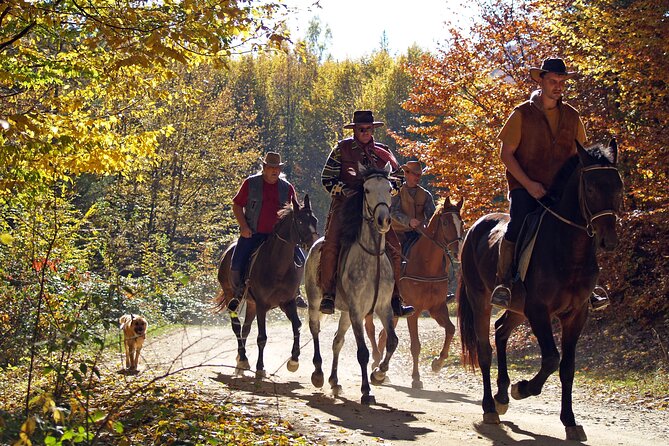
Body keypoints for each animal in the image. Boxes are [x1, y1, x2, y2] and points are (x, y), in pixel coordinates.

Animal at [215, 193, 318, 378]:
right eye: (300, 221)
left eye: (315, 220)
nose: (313, 242)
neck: (277, 267)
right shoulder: (262, 305)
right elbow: (262, 337)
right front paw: (260, 367)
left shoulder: (288, 303)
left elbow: (297, 326)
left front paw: (294, 361)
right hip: (231, 295)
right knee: (237, 326)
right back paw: (243, 358)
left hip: (251, 304)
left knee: (246, 328)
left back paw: (240, 362)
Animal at [306, 163, 400, 404]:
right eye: (366, 189)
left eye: (390, 189)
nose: (383, 220)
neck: (372, 256)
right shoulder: (358, 311)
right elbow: (363, 353)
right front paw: (366, 391)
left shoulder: (383, 308)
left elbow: (392, 341)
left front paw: (378, 374)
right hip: (315, 301)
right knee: (315, 330)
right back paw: (318, 374)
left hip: (346, 313)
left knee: (337, 341)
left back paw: (334, 382)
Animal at [456, 141, 624, 440]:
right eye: (590, 189)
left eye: (618, 187)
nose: (609, 241)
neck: (569, 248)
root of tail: (476, 225)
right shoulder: (538, 311)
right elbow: (551, 359)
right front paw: (522, 388)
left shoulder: (576, 315)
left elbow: (567, 367)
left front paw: (570, 421)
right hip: (481, 300)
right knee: (485, 348)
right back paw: (490, 406)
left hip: (517, 309)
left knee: (501, 330)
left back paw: (501, 397)